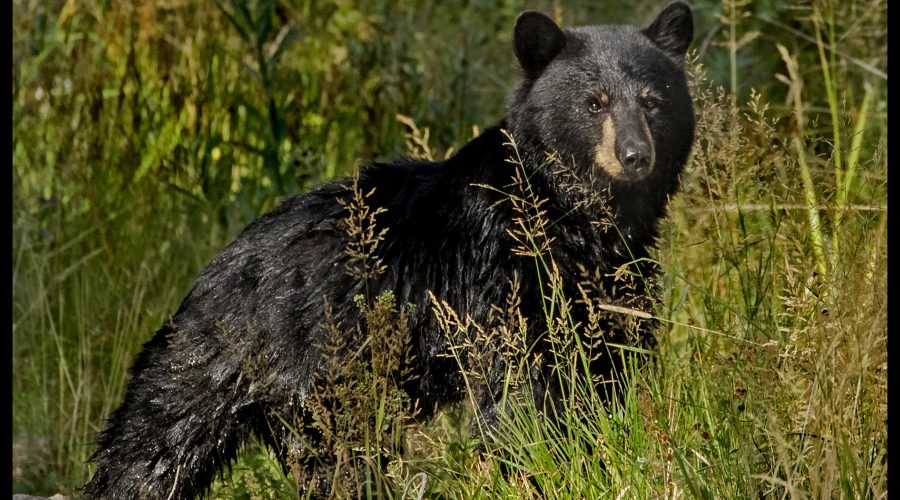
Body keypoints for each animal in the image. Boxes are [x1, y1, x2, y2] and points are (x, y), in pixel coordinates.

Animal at [84, 2, 695, 498]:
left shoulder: (614, 288)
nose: (635, 155)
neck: (571, 217)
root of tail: (214, 272)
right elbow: (522, 390)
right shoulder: (500, 276)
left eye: (652, 100)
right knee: (157, 444)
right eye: (593, 103)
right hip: (267, 361)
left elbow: (604, 375)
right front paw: (541, 467)